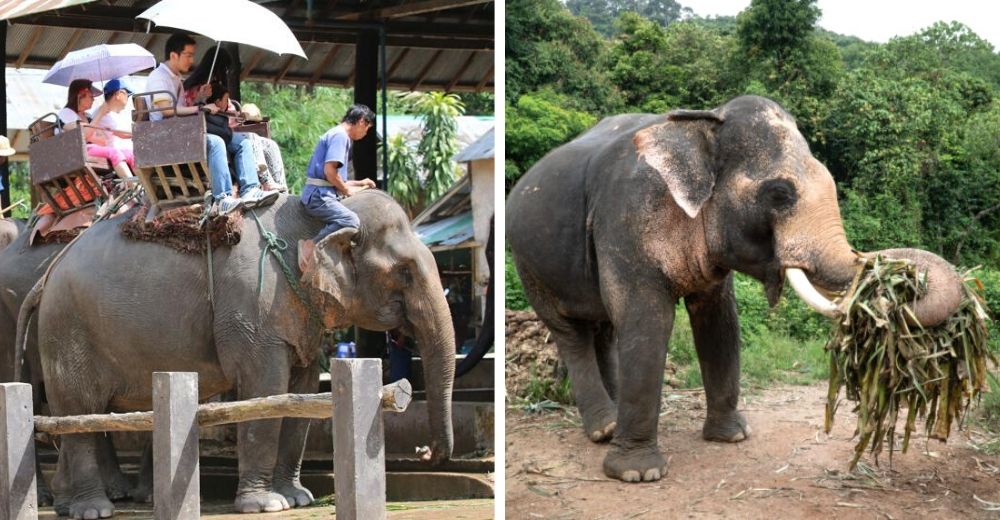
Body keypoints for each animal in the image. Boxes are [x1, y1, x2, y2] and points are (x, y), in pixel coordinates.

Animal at [17, 190, 456, 516]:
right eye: (404, 273)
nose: (424, 452)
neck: (313, 220)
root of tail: (46, 276)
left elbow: (302, 392)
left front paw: (297, 499)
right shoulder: (253, 308)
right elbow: (266, 390)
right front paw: (266, 505)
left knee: (77, 416)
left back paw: (67, 505)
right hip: (68, 329)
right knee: (78, 413)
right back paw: (93, 510)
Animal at [508, 96, 968, 484]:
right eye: (780, 195)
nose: (900, 282)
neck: (705, 125)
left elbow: (719, 321)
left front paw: (731, 438)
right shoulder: (626, 219)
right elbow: (647, 320)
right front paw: (638, 474)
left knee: (602, 326)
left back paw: (613, 418)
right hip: (528, 263)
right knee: (570, 332)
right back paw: (604, 429)